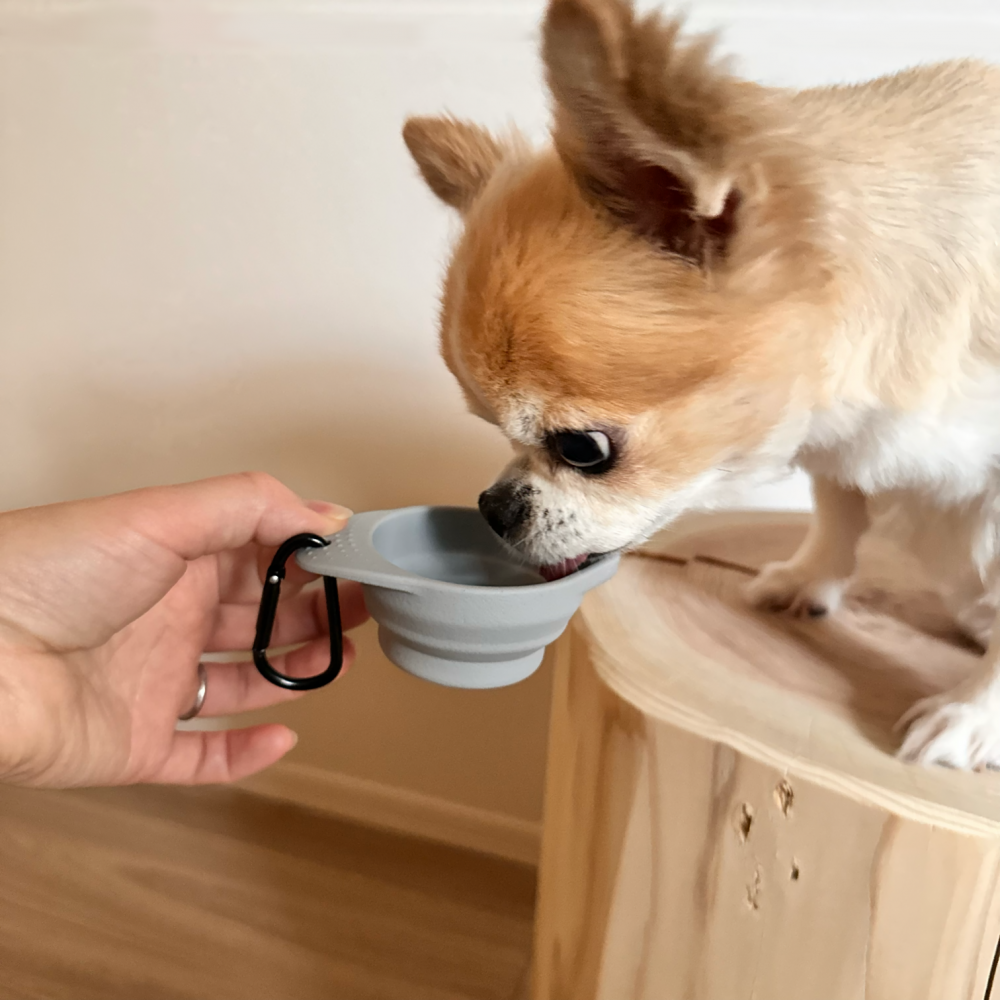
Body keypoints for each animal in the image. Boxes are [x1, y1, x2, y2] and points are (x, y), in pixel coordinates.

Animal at [402, 0, 1000, 768]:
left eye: (583, 450)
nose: (493, 506)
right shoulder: (840, 447)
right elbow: (841, 507)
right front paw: (809, 579)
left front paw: (973, 716)